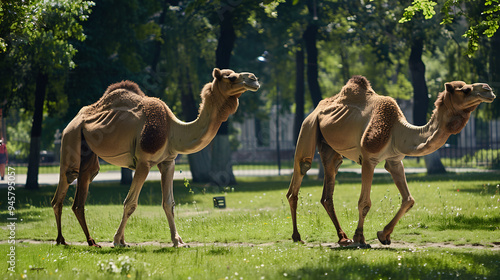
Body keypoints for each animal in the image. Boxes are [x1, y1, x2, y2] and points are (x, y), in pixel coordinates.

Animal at [52, 68, 260, 247]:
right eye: (230, 77)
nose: (254, 79)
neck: (173, 130)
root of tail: (72, 122)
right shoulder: (144, 162)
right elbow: (130, 203)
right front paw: (117, 241)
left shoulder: (168, 162)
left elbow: (169, 203)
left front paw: (178, 241)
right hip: (71, 140)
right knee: (64, 189)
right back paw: (68, 240)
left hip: (89, 157)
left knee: (77, 195)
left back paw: (83, 241)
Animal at [288, 76, 494, 247]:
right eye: (465, 89)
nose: (488, 89)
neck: (397, 131)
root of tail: (318, 108)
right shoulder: (369, 159)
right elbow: (364, 203)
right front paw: (360, 238)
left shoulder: (395, 161)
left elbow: (409, 199)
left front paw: (383, 235)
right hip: (308, 126)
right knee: (300, 172)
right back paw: (298, 237)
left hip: (330, 148)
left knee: (328, 186)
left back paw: (342, 237)